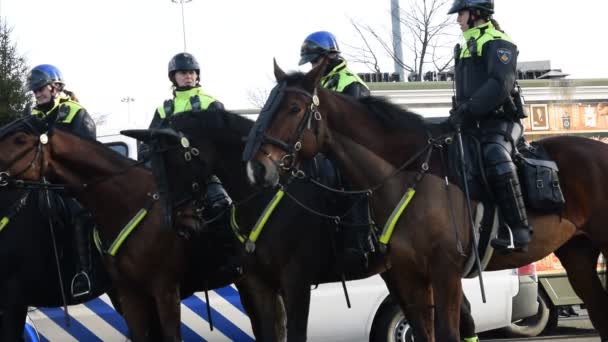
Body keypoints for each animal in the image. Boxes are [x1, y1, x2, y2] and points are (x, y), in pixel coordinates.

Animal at [245, 60, 608, 340]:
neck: (408, 176)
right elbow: (424, 332)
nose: (256, 167)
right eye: (266, 107)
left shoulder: (444, 272)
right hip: (577, 253)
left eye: (294, 108)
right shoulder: (409, 275)